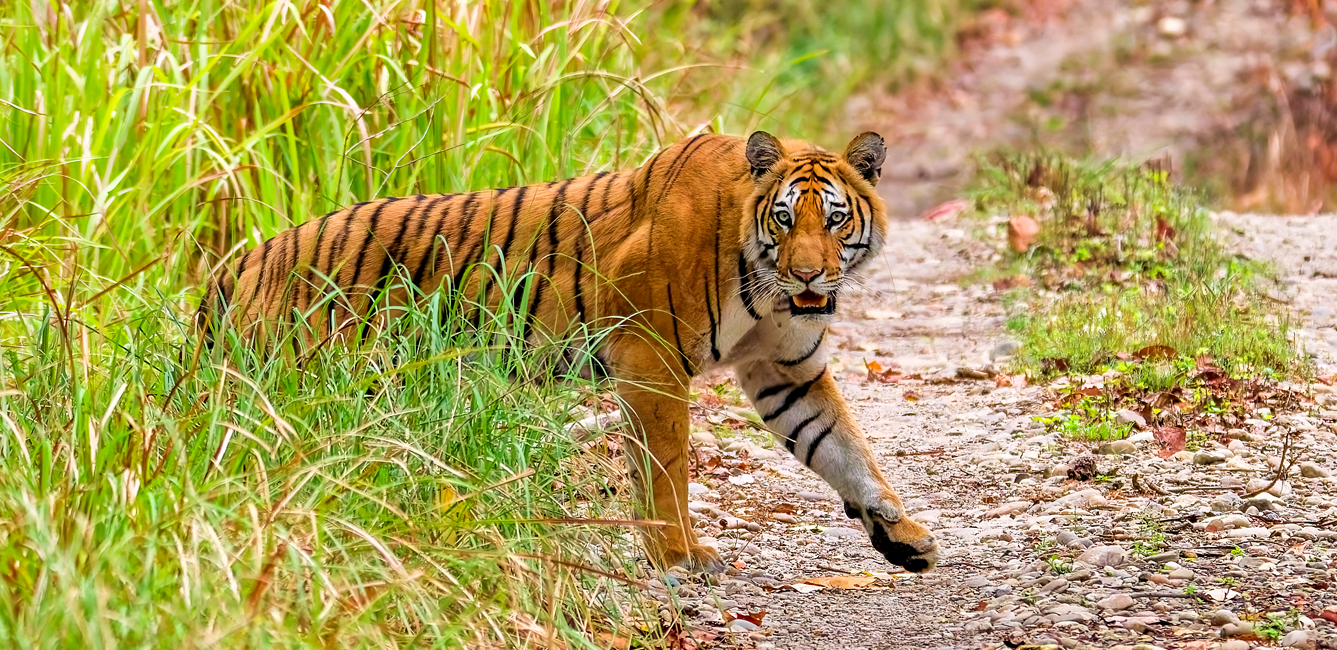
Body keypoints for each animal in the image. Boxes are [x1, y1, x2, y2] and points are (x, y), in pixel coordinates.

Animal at [197, 131, 940, 574]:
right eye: (784, 219)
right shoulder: (652, 358)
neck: (765, 289)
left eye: (835, 220)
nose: (810, 276)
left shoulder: (785, 370)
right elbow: (667, 468)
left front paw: (900, 532)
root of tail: (242, 262)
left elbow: (843, 447)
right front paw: (678, 552)